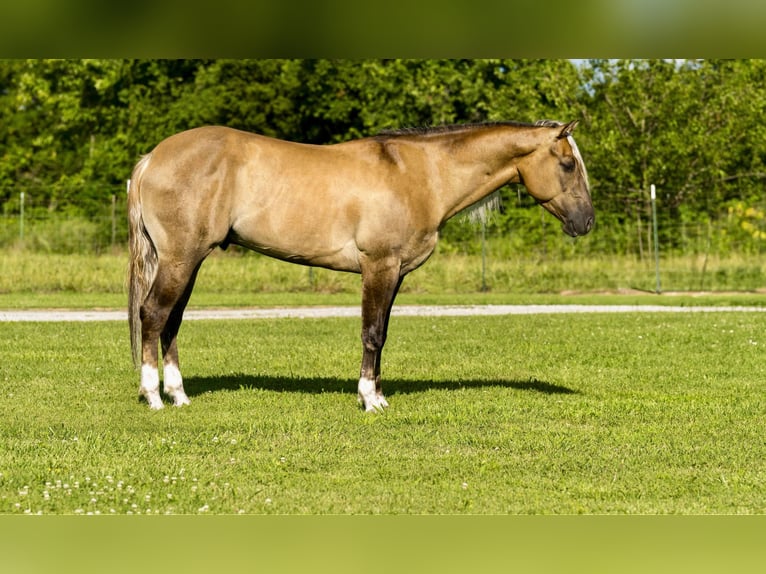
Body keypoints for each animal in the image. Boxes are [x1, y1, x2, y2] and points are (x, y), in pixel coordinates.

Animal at [127, 121, 592, 412]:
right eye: (567, 164)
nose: (585, 222)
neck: (420, 175)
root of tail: (153, 158)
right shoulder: (379, 266)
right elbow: (372, 332)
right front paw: (370, 399)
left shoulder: (396, 273)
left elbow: (382, 334)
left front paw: (379, 395)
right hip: (181, 259)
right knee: (153, 314)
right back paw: (154, 396)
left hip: (188, 262)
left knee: (171, 322)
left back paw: (178, 395)